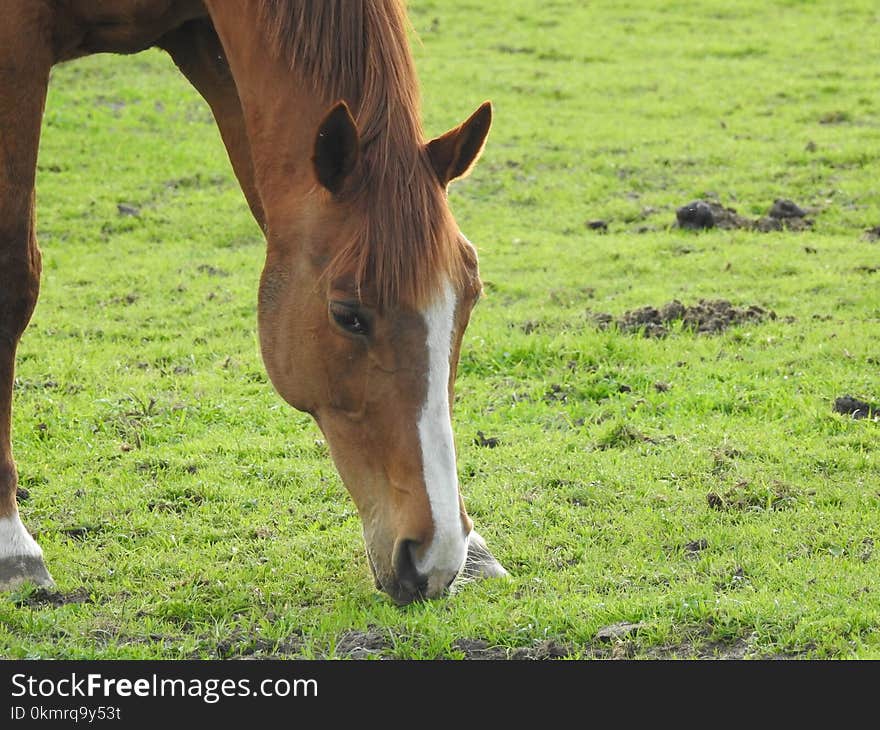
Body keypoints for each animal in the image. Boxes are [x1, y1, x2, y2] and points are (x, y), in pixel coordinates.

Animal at [0, 0, 506, 604]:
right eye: (348, 315)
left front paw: (474, 548)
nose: (435, 556)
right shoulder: (16, 47)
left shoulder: (208, 42)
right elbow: (12, 281)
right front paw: (12, 544)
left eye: (470, 298)